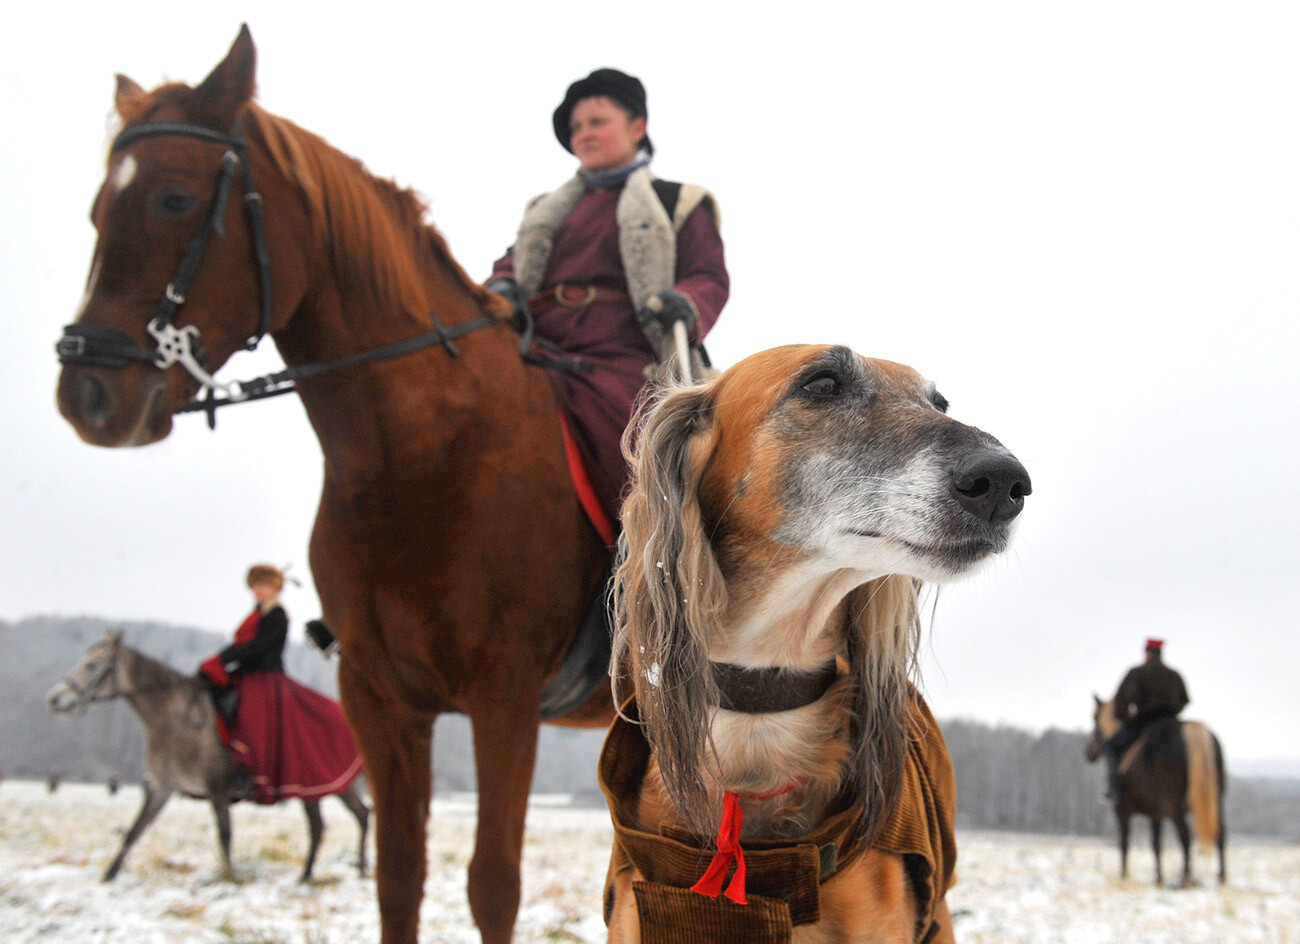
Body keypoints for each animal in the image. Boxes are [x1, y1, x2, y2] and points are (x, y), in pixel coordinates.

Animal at [45, 631, 369, 884]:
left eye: (91, 665)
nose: (54, 699)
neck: (174, 721)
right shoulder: (162, 787)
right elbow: (135, 829)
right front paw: (110, 874)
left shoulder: (217, 788)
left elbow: (224, 834)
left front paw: (230, 876)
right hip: (324, 787)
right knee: (338, 821)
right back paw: (315, 873)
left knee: (348, 819)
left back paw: (348, 869)